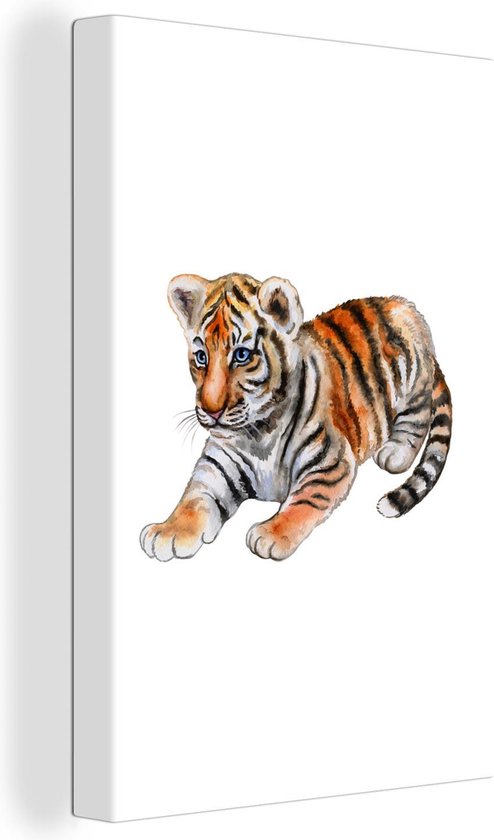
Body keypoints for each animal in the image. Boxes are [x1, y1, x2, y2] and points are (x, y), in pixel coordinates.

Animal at [140, 272, 452, 561]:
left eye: (241, 355)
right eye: (201, 357)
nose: (211, 411)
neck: (258, 434)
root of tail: (398, 304)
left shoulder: (330, 463)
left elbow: (304, 501)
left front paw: (270, 534)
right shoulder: (218, 464)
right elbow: (193, 498)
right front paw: (168, 532)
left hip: (413, 378)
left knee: (418, 414)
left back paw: (395, 452)